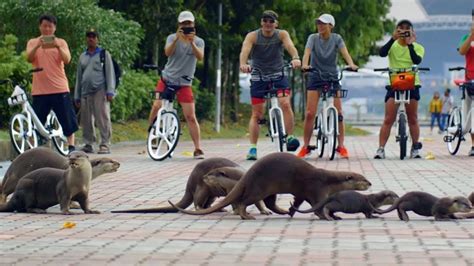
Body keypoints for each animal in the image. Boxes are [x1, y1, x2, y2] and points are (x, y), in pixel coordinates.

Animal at [111, 157, 268, 213]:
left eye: (211, 174)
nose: (204, 177)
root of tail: (189, 184)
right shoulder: (231, 190)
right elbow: (234, 201)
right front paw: (236, 210)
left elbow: (259, 202)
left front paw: (265, 211)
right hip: (202, 189)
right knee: (197, 202)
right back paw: (202, 209)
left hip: (211, 193)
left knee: (208, 202)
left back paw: (219, 209)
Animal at [168, 153, 372, 219]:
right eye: (362, 178)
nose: (370, 182)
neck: (329, 180)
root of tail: (248, 174)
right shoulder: (318, 189)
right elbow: (318, 206)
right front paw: (327, 216)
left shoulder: (303, 193)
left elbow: (298, 201)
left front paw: (291, 211)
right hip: (259, 188)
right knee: (245, 201)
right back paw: (246, 215)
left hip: (270, 190)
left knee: (269, 202)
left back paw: (280, 211)